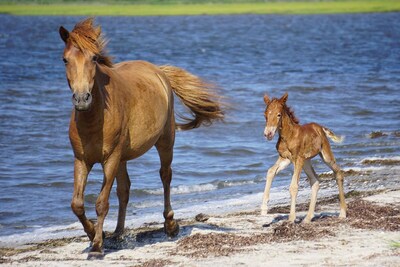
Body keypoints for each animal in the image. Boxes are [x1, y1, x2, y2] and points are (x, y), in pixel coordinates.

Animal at [58, 17, 225, 258]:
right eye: (65, 60)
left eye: (94, 58)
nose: (82, 99)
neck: (94, 118)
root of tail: (158, 71)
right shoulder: (82, 160)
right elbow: (77, 204)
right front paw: (94, 234)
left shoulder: (110, 159)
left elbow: (101, 203)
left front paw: (97, 246)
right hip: (122, 158)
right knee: (124, 190)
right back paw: (118, 233)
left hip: (164, 142)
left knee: (165, 176)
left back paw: (170, 225)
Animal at [260, 93, 346, 224]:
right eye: (265, 114)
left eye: (278, 114)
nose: (268, 134)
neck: (288, 136)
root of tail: (321, 128)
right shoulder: (285, 158)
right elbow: (270, 171)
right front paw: (264, 209)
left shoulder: (298, 158)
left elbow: (293, 186)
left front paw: (291, 218)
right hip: (306, 161)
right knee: (315, 181)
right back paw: (308, 218)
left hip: (324, 154)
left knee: (338, 172)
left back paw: (342, 213)